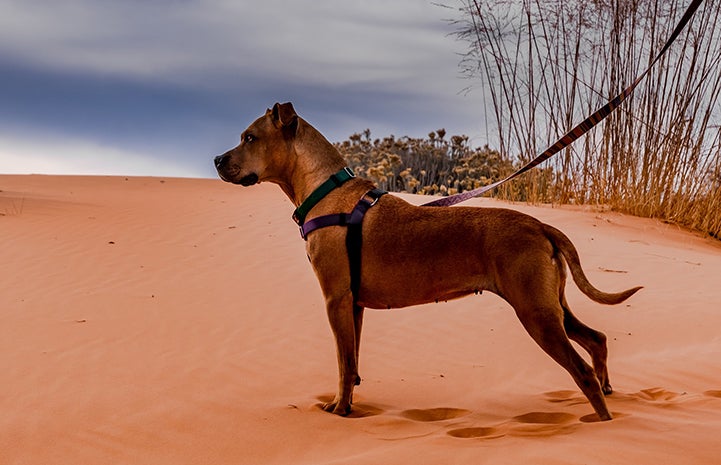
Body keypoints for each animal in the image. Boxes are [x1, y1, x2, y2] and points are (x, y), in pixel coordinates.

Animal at [215, 101, 640, 420]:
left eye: (249, 137)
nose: (217, 159)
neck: (326, 190)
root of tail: (540, 224)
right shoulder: (354, 305)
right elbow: (351, 363)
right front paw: (347, 404)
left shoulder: (335, 300)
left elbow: (342, 364)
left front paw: (338, 410)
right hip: (552, 305)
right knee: (597, 339)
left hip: (535, 313)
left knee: (582, 371)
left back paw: (601, 421)